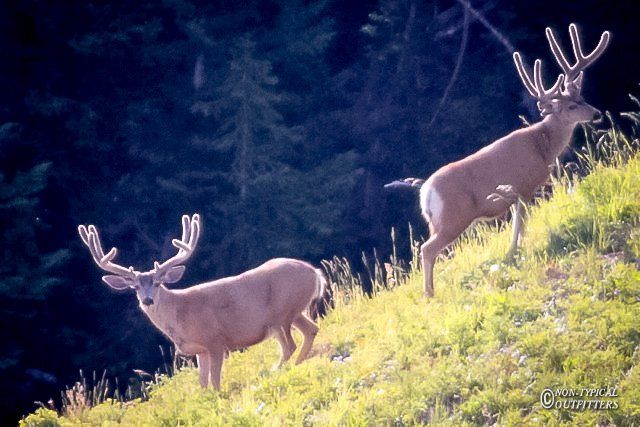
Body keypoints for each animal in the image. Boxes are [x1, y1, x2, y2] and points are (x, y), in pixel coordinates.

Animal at [78, 214, 326, 390]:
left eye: (158, 283)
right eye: (135, 287)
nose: (147, 300)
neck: (180, 313)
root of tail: (315, 273)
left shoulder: (215, 340)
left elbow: (215, 382)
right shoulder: (200, 350)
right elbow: (203, 384)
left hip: (280, 314)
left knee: (290, 345)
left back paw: (277, 371)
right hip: (293, 312)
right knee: (311, 330)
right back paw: (295, 366)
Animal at [385, 23, 610, 297]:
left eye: (582, 98)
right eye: (571, 106)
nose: (596, 113)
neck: (542, 145)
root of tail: (426, 193)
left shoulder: (514, 194)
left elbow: (517, 223)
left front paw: (514, 252)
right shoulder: (523, 186)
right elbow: (520, 223)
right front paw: (516, 251)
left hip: (435, 222)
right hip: (453, 218)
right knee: (427, 249)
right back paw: (429, 293)